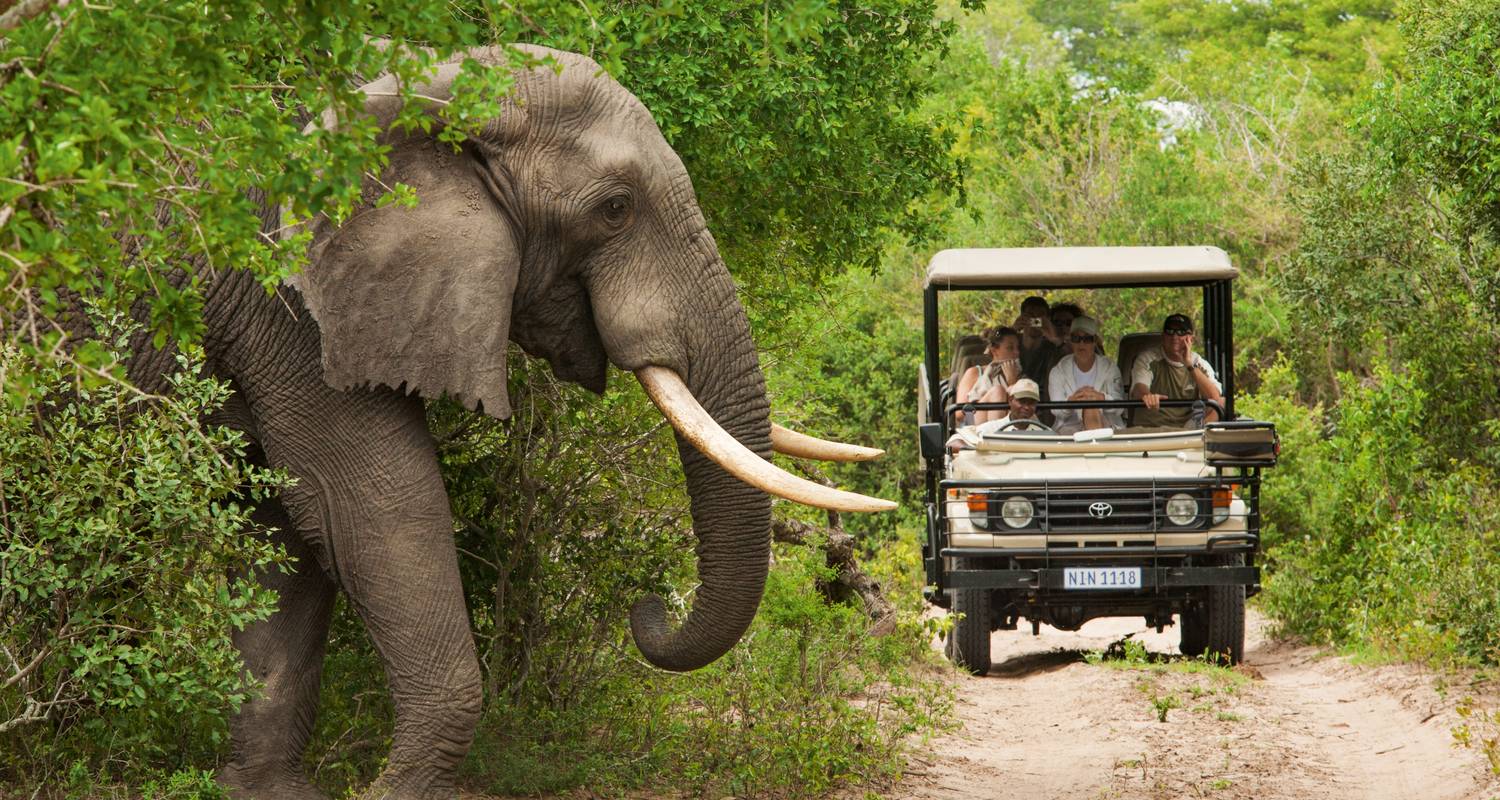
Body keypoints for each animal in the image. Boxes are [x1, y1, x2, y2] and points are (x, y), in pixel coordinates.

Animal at [143, 45, 888, 798]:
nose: (648, 607)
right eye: (615, 209)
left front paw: (264, 791)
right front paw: (393, 792)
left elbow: (293, 526)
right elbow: (367, 503)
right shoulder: (287, 297)